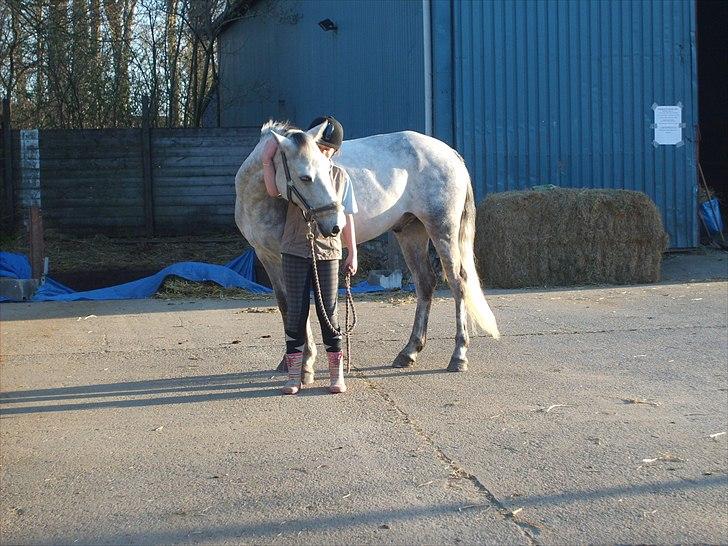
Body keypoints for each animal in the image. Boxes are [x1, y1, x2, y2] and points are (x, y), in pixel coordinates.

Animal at [234, 121, 500, 383]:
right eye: (305, 177)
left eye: (328, 171)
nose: (335, 225)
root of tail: (451, 154)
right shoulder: (268, 257)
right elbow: (286, 305)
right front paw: (289, 362)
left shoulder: (295, 257)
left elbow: (300, 306)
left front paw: (306, 364)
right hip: (411, 232)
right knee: (425, 283)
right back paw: (409, 352)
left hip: (442, 229)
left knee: (458, 283)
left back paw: (458, 356)